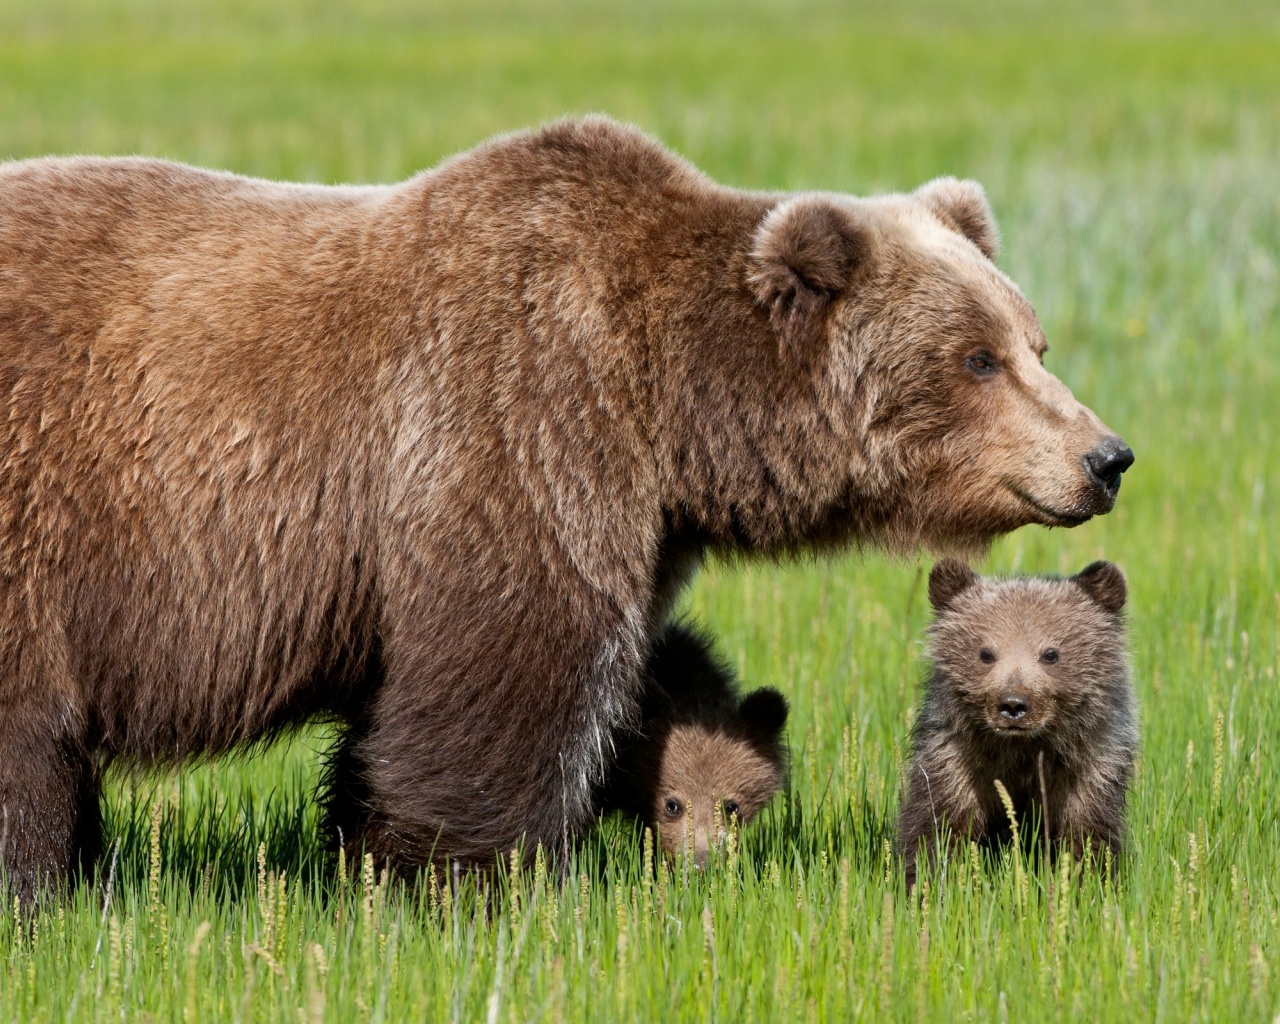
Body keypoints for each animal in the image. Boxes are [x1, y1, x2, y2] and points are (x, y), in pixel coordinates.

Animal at [0, 117, 1131, 896]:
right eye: (976, 357)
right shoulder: (516, 423)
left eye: (1033, 339)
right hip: (41, 520)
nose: (1106, 455)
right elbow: (508, 674)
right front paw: (477, 876)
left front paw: (366, 852)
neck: (668, 402)